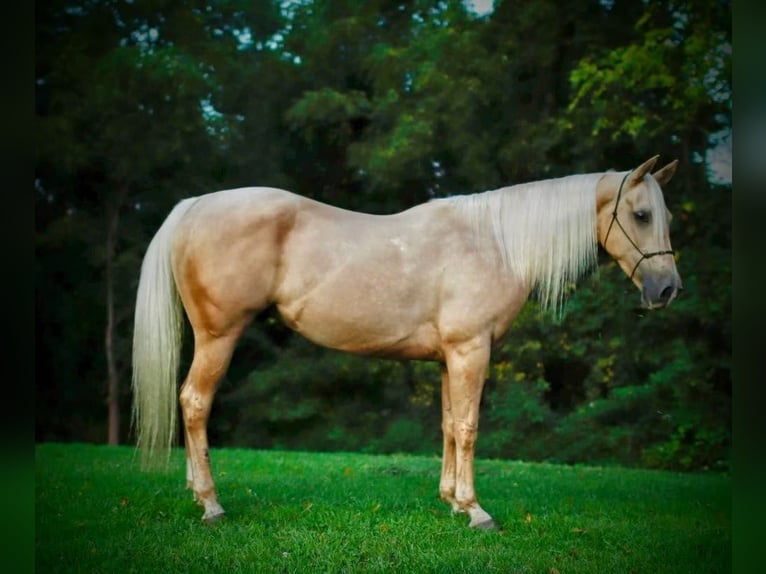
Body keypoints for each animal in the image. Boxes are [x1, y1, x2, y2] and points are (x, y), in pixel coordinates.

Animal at [132, 154, 684, 532]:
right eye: (639, 215)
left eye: (667, 219)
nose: (667, 290)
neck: (495, 242)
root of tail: (193, 207)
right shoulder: (471, 350)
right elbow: (468, 428)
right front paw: (477, 511)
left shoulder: (448, 358)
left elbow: (447, 426)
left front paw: (452, 501)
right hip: (219, 336)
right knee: (195, 403)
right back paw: (211, 503)